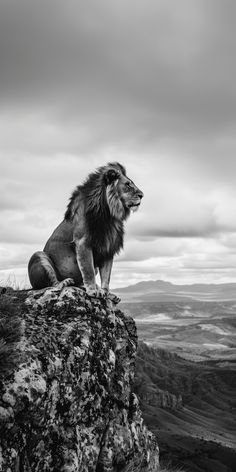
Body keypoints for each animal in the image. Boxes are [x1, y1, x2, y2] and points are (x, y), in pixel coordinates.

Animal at [27, 163, 143, 302]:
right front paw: (93, 291)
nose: (142, 195)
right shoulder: (83, 242)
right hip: (39, 255)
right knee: (52, 284)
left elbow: (107, 276)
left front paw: (106, 293)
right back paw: (65, 282)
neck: (109, 215)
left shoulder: (108, 248)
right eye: (127, 184)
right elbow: (88, 271)